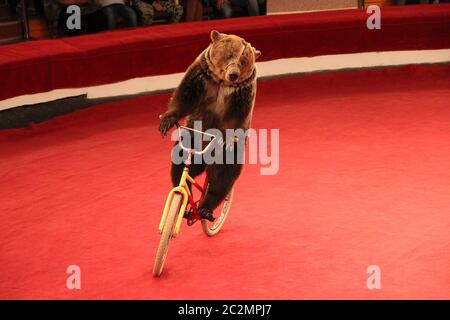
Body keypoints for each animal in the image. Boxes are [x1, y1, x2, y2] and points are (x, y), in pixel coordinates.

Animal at [160, 30, 262, 221]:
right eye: (230, 54)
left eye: (243, 61)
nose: (234, 74)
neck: (222, 82)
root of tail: (207, 156)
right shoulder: (201, 76)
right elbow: (184, 96)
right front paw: (166, 121)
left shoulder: (242, 94)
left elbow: (237, 115)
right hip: (194, 135)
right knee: (181, 162)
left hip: (226, 151)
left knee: (223, 174)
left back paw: (205, 209)